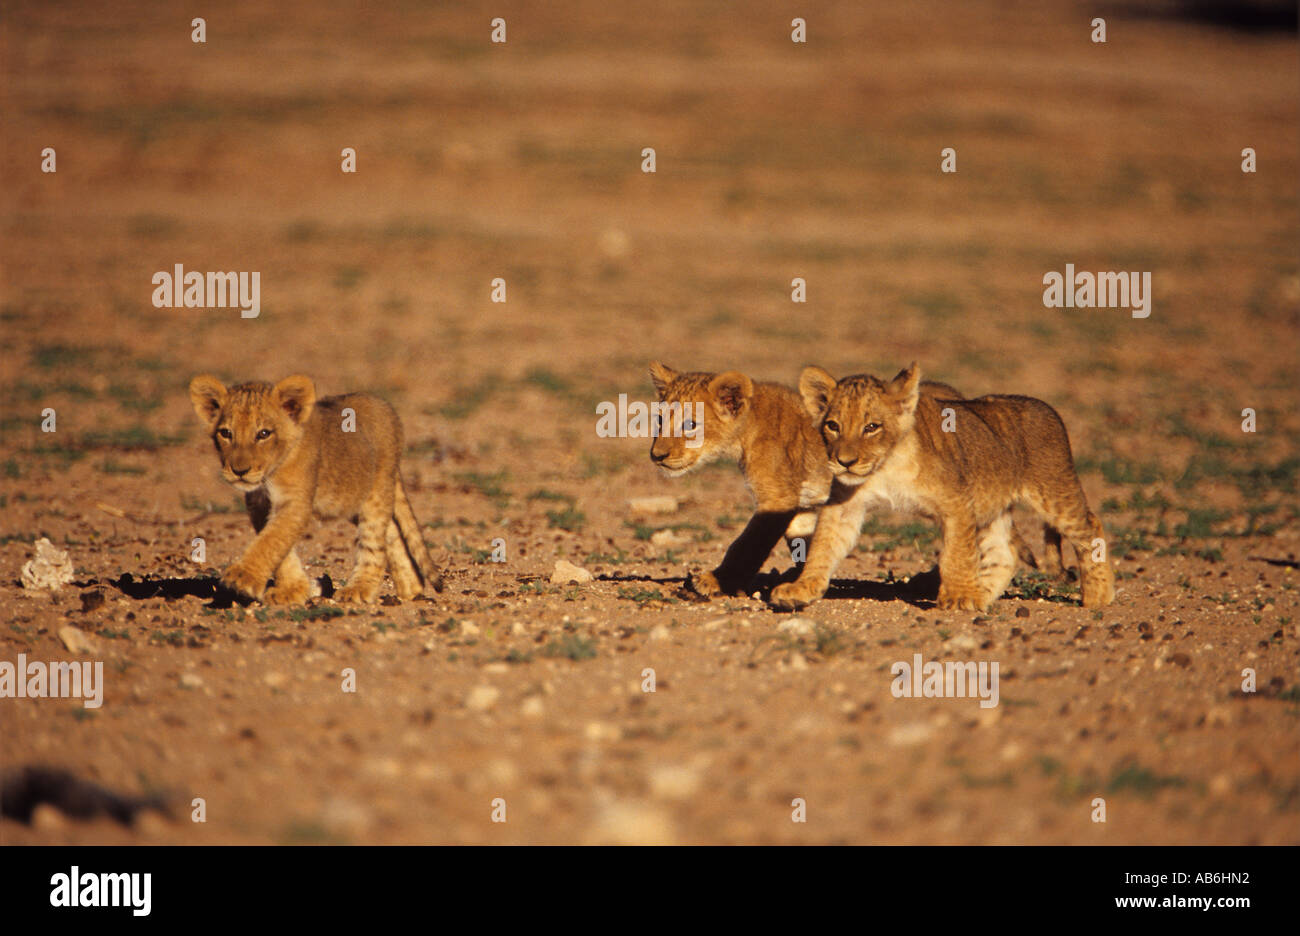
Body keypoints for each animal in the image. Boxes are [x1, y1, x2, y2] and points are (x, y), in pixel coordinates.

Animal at [188, 374, 443, 605]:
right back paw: (411, 588)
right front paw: (293, 590)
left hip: (376, 492)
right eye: (226, 433)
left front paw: (243, 577)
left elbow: (272, 540)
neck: (270, 473)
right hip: (352, 498)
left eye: (263, 433)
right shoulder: (259, 504)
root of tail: (384, 404)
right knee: (392, 531)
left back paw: (359, 589)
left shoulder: (295, 502)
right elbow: (277, 546)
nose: (239, 471)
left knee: (374, 542)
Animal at [769, 363, 1114, 612]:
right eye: (833, 425)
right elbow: (823, 545)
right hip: (990, 504)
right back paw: (983, 594)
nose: (845, 462)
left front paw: (959, 596)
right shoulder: (845, 505)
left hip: (1054, 490)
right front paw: (801, 589)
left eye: (871, 427)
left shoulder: (957, 500)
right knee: (1006, 553)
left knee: (1089, 526)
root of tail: (1046, 407)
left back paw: (1099, 595)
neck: (886, 465)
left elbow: (956, 553)